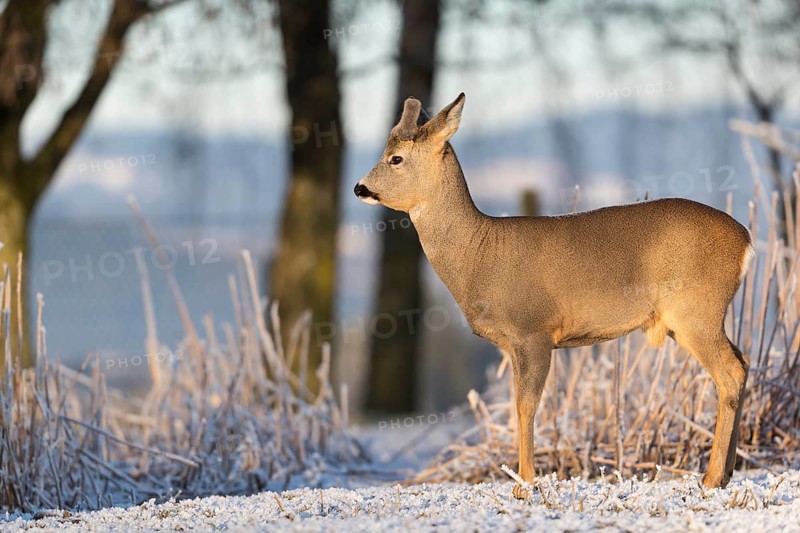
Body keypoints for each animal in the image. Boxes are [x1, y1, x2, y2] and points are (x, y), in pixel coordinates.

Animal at [354, 93, 754, 499]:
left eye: (395, 158)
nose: (359, 188)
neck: (480, 253)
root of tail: (746, 240)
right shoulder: (514, 343)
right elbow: (518, 404)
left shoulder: (534, 330)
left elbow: (526, 406)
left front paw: (524, 484)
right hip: (692, 318)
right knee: (744, 362)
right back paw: (726, 473)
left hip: (696, 311)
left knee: (730, 371)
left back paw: (710, 478)